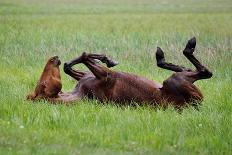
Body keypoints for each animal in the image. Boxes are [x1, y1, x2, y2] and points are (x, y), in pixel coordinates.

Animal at [27, 37, 212, 109]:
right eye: (43, 84)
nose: (54, 58)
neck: (79, 94)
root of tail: (195, 105)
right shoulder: (106, 75)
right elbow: (85, 55)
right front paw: (109, 59)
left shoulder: (87, 76)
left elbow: (70, 65)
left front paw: (107, 58)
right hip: (176, 81)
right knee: (204, 72)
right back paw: (186, 47)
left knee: (189, 69)